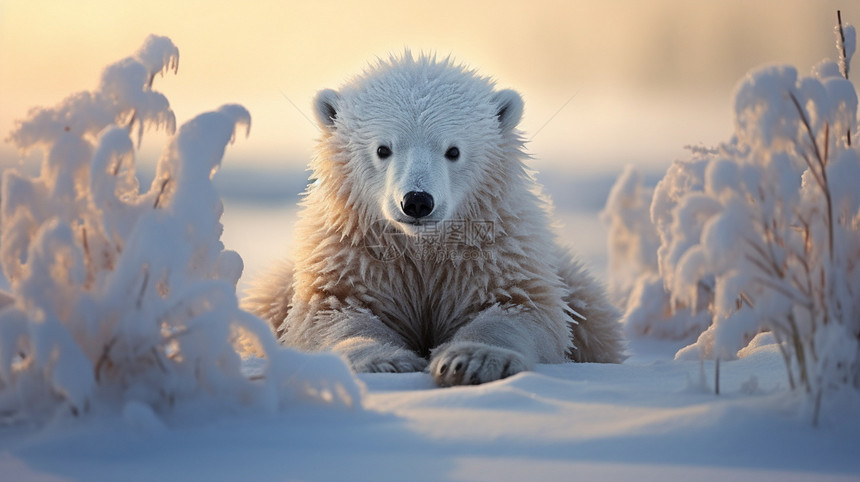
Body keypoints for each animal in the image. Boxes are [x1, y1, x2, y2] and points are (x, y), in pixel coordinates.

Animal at [242, 52, 624, 386]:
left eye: (453, 151)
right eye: (383, 149)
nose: (416, 201)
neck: (422, 247)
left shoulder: (493, 251)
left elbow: (517, 307)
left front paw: (469, 361)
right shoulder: (354, 253)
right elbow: (334, 311)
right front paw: (388, 361)